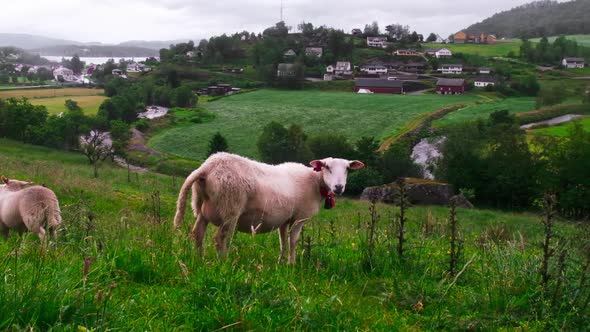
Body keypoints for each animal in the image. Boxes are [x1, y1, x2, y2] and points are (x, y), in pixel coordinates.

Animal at [173, 152, 364, 264]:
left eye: (347, 169)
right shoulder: (300, 217)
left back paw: (199, 259)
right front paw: (292, 264)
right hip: (230, 208)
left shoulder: (285, 219)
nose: (339, 187)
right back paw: (223, 262)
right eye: (327, 167)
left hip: (203, 207)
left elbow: (283, 240)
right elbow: (293, 240)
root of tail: (207, 167)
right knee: (219, 237)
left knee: (198, 233)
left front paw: (281, 262)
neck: (315, 182)